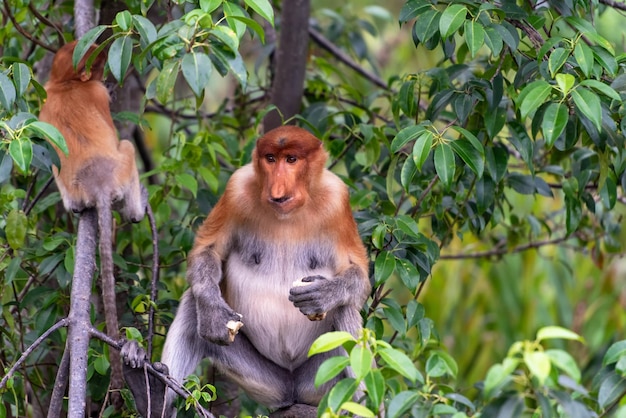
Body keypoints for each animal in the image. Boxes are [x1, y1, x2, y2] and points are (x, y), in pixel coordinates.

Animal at [120, 125, 370, 416]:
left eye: (292, 159)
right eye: (271, 159)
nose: (277, 187)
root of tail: (292, 389)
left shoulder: (337, 199)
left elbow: (358, 273)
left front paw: (323, 293)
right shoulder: (235, 189)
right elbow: (208, 250)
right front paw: (213, 314)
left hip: (320, 379)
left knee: (345, 309)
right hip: (267, 381)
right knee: (192, 304)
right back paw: (152, 394)